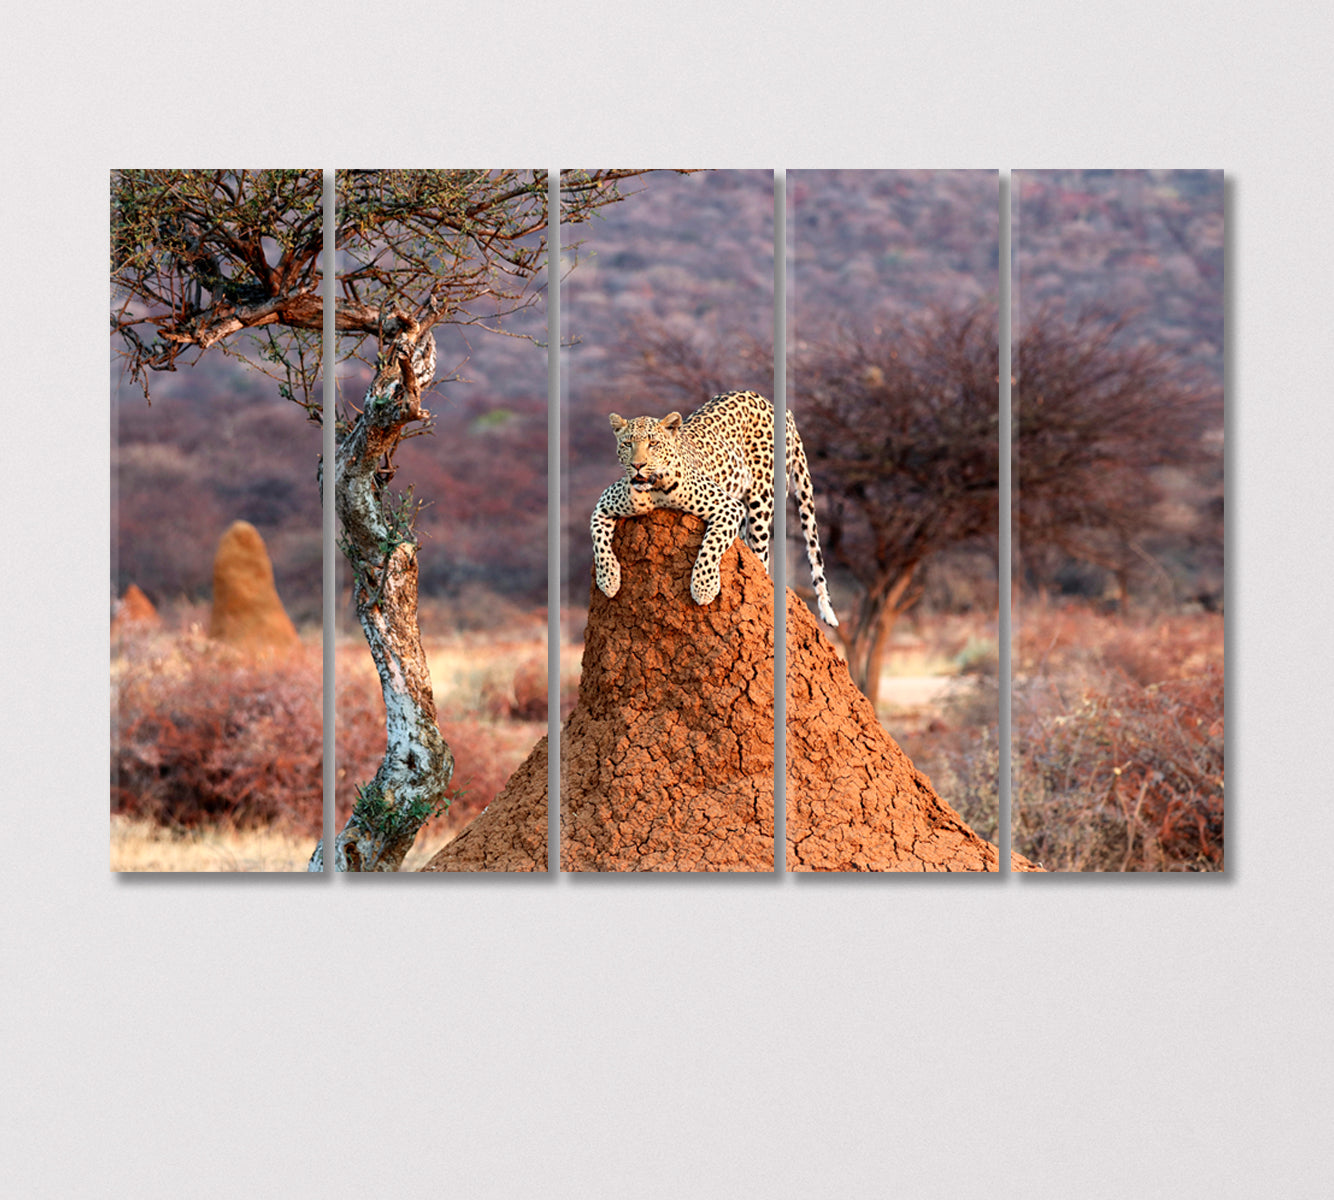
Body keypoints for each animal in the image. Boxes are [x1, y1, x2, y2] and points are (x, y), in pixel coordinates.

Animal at [592, 389, 837, 624]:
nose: (638, 465)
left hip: (762, 501)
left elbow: (711, 545)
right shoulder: (603, 504)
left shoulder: (728, 507)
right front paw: (609, 581)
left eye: (653, 444)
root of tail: (777, 407)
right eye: (627, 444)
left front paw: (703, 589)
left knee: (762, 557)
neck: (655, 490)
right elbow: (599, 544)